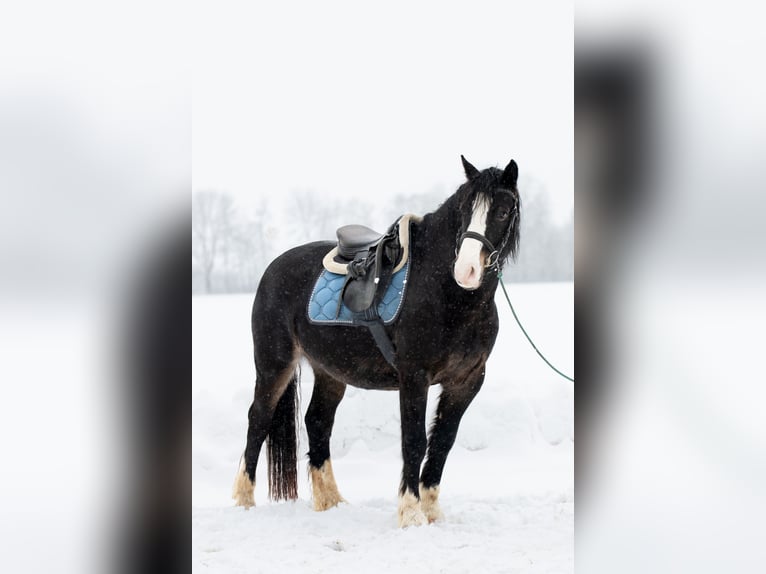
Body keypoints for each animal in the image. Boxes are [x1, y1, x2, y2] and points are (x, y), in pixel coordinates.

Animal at [232, 155, 521, 527]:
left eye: (503, 211)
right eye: (464, 209)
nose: (466, 270)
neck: (448, 295)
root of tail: (273, 268)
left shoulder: (467, 381)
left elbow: (443, 441)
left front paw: (432, 510)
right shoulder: (414, 376)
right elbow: (414, 441)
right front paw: (410, 513)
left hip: (330, 372)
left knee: (317, 422)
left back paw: (331, 501)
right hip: (274, 363)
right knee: (259, 419)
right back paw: (243, 500)